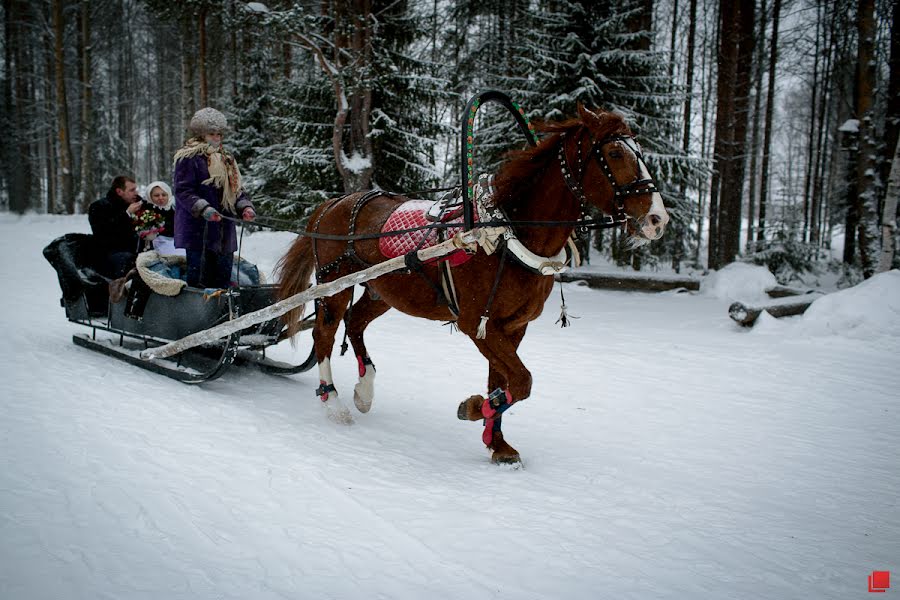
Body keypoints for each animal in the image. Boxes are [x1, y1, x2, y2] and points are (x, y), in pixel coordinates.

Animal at [280, 105, 668, 464]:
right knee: (325, 334)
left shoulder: (512, 327)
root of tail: (333, 203)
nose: (657, 219)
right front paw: (475, 408)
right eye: (615, 153)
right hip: (334, 284)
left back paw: (364, 390)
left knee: (355, 322)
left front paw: (497, 441)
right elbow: (522, 381)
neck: (506, 233)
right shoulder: (477, 323)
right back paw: (333, 402)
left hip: (383, 291)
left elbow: (506, 382)